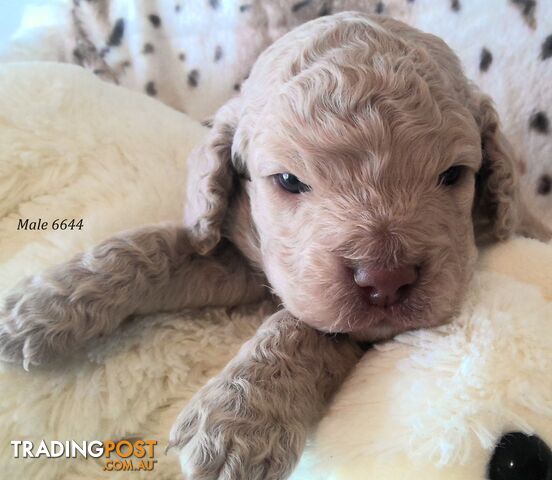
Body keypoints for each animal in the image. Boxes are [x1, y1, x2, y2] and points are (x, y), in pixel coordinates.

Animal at [0, 11, 548, 480]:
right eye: (288, 180)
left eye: (453, 175)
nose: (386, 280)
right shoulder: (249, 246)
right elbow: (160, 246)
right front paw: (43, 306)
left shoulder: (341, 310)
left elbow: (305, 326)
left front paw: (238, 422)